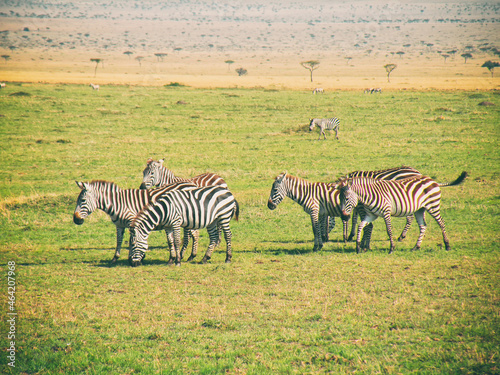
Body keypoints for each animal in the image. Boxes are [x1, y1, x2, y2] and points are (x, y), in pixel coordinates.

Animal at [338, 172, 466, 254]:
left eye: (347, 198)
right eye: (339, 198)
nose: (344, 216)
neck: (369, 195)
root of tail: (433, 181)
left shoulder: (386, 212)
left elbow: (389, 230)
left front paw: (392, 248)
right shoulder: (371, 215)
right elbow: (360, 226)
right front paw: (358, 247)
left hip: (433, 206)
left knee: (441, 223)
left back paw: (447, 245)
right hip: (420, 209)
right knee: (423, 226)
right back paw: (416, 247)